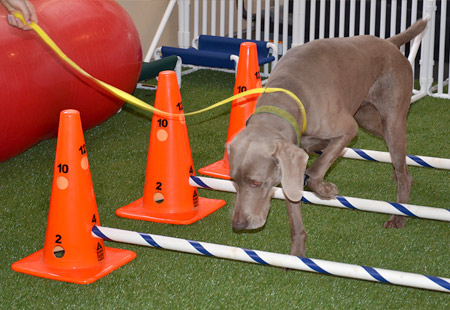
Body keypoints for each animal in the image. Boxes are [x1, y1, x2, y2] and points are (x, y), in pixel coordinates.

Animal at [229, 18, 428, 258]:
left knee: (403, 169)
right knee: (399, 159)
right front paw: (297, 254)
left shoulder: (347, 130)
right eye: (233, 181)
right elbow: (295, 209)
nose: (238, 225)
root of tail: (389, 43)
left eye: (256, 183)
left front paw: (324, 189)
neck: (290, 97)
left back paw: (399, 215)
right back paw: (398, 173)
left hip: (390, 120)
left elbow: (315, 169)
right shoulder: (291, 163)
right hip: (367, 118)